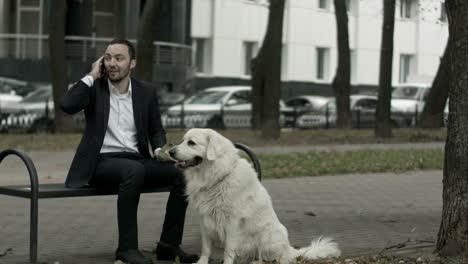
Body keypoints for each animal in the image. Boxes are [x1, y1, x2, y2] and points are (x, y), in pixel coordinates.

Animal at [172, 129, 340, 262]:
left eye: (191, 143)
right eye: (182, 140)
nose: (170, 152)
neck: (216, 176)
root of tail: (290, 248)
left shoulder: (232, 222)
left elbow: (229, 251)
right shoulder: (204, 218)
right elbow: (206, 248)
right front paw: (202, 262)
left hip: (269, 236)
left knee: (275, 258)